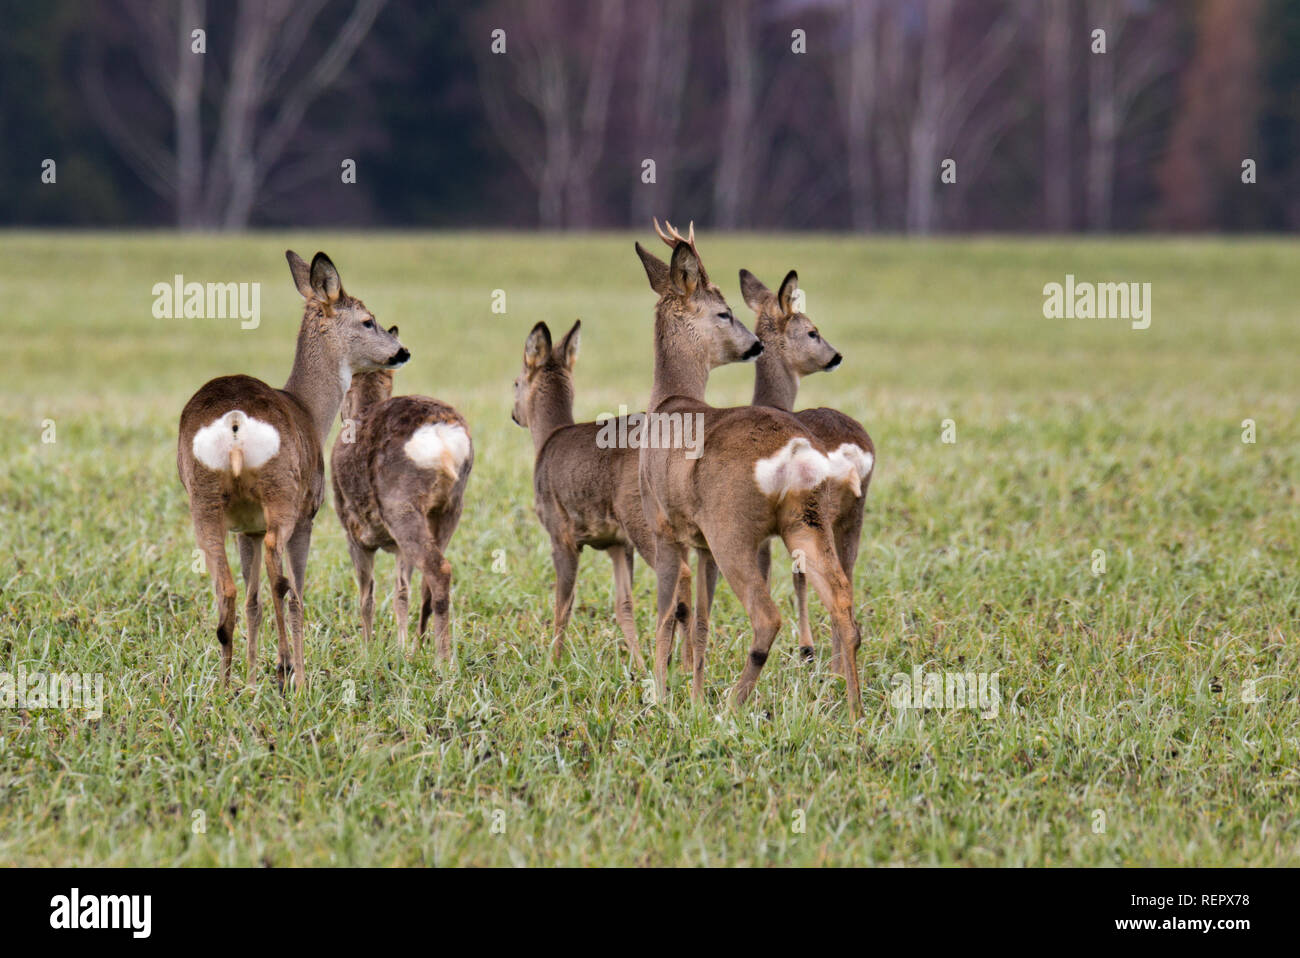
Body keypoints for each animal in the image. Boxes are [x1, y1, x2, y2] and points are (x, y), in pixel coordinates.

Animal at [175, 250, 403, 691]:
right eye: (368, 320)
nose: (401, 350)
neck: (310, 411)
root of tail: (234, 420)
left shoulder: (247, 527)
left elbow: (253, 601)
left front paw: (250, 680)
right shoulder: (308, 513)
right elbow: (293, 593)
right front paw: (294, 673)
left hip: (204, 498)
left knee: (228, 589)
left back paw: (226, 687)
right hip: (281, 492)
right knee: (282, 583)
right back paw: (287, 672)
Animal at [332, 328, 475, 657]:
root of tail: (442, 436)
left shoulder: (353, 534)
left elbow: (367, 595)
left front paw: (367, 649)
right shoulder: (397, 548)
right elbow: (400, 592)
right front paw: (399, 647)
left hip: (402, 508)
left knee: (439, 569)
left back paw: (442, 660)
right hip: (449, 509)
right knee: (427, 582)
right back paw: (421, 646)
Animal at [743, 267, 873, 657]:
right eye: (812, 331)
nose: (836, 356)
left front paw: (805, 646)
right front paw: (806, 646)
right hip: (845, 512)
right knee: (844, 576)